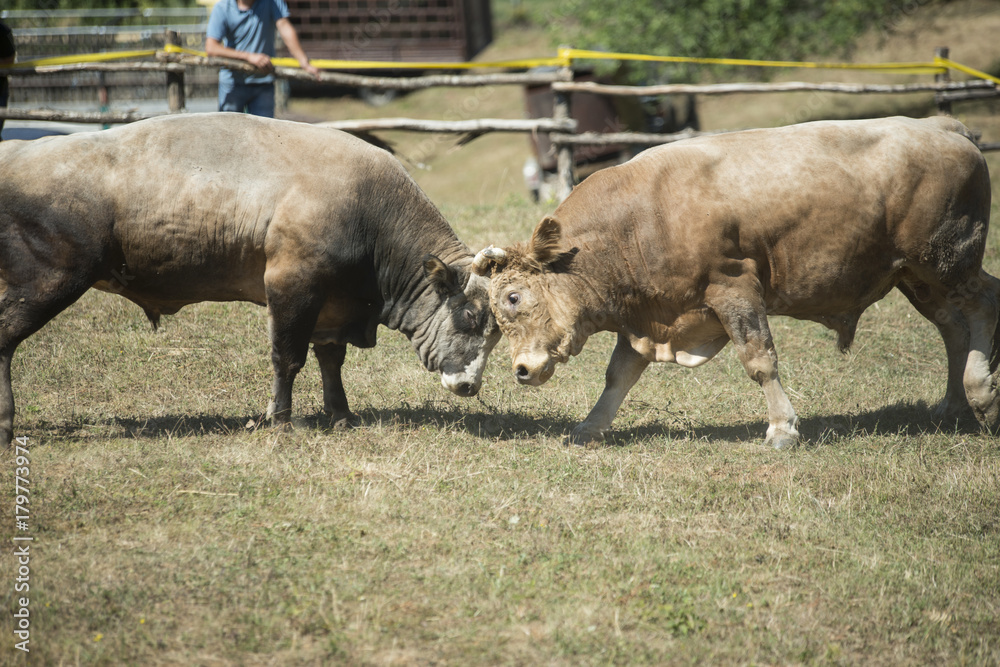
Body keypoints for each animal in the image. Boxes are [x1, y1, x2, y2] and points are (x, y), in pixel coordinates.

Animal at [0, 113, 500, 448]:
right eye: (470, 317)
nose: (470, 386)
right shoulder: (290, 287)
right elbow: (288, 359)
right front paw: (280, 421)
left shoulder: (332, 307)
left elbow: (330, 361)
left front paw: (341, 416)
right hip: (48, 281)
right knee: (5, 340)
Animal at [474, 116, 1000, 448]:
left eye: (514, 297)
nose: (521, 370)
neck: (641, 217)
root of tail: (943, 127)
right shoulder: (646, 313)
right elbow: (619, 374)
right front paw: (590, 426)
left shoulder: (735, 290)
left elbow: (759, 360)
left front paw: (782, 428)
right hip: (915, 275)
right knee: (952, 328)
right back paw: (952, 404)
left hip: (947, 261)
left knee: (982, 306)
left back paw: (980, 392)